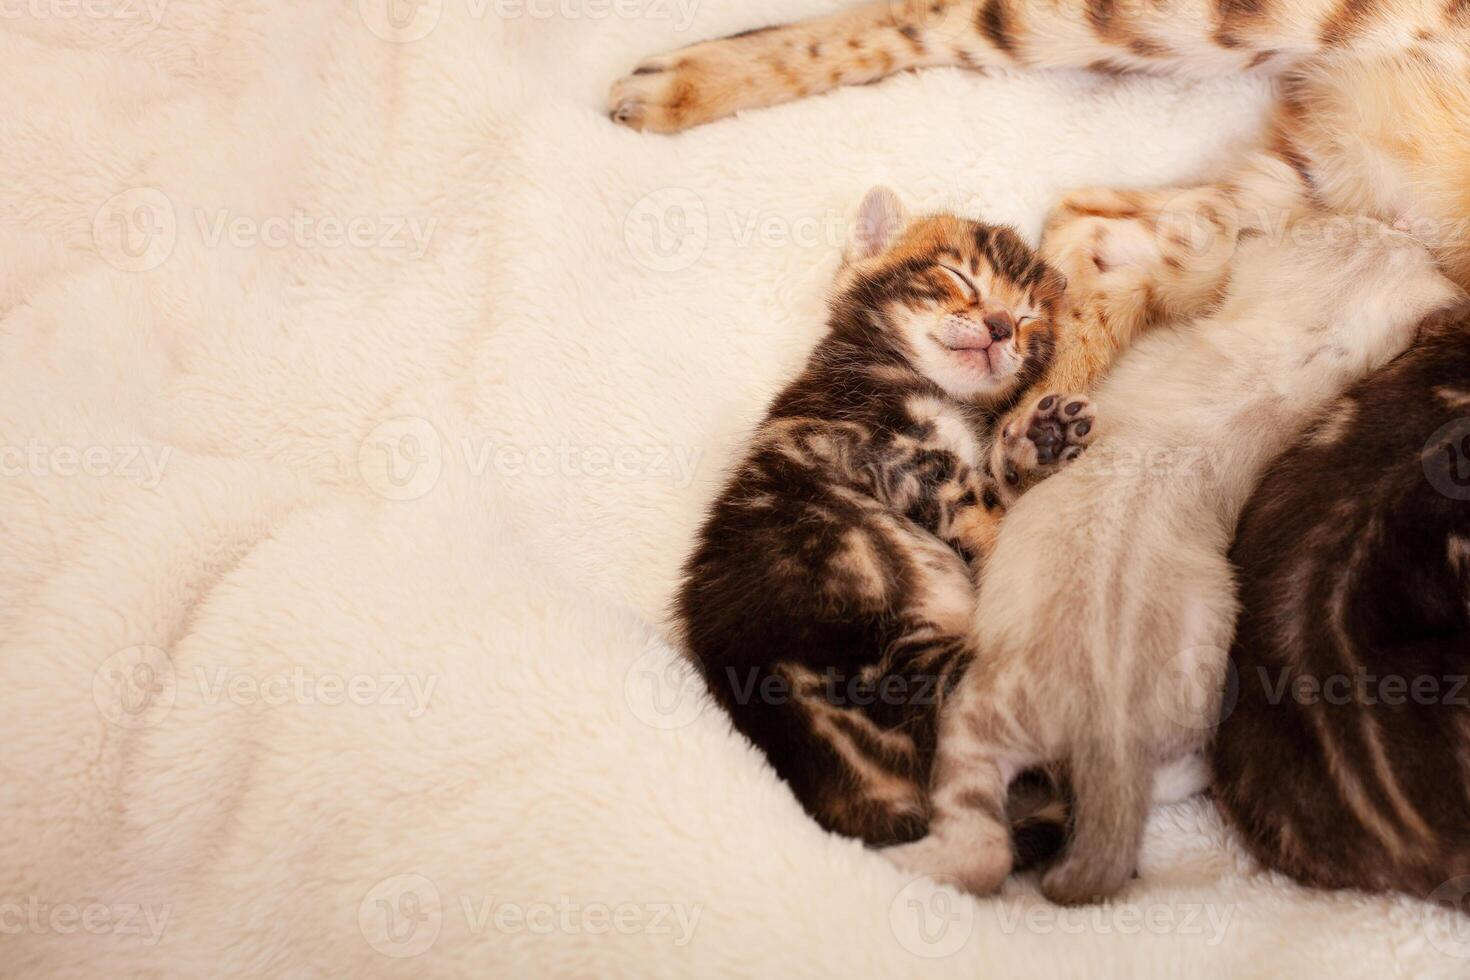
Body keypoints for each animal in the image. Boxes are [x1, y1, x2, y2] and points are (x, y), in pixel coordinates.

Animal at [673, 188, 1081, 846]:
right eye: (958, 277)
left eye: (1028, 320)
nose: (999, 328)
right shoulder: (885, 449)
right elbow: (986, 507)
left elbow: (996, 480)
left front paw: (1036, 441)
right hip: (911, 668)